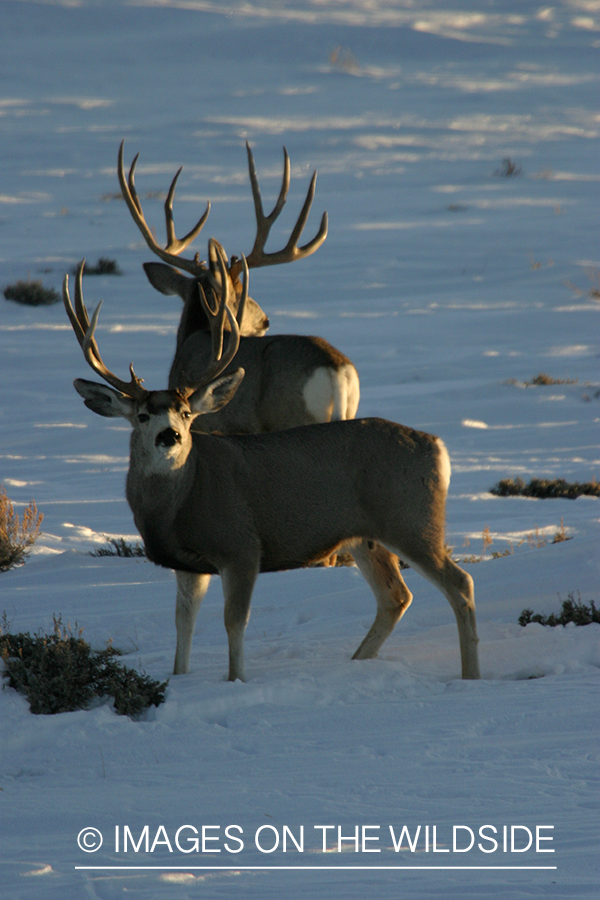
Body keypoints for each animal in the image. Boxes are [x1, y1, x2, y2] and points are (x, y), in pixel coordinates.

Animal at [62, 250, 481, 683]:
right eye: (143, 415)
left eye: (186, 413)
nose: (170, 436)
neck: (179, 503)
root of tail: (437, 447)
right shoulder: (189, 562)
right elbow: (183, 622)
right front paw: (179, 678)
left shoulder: (242, 547)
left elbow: (234, 621)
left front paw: (237, 680)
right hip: (366, 534)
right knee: (395, 596)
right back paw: (358, 661)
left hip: (412, 520)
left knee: (460, 584)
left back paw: (470, 676)